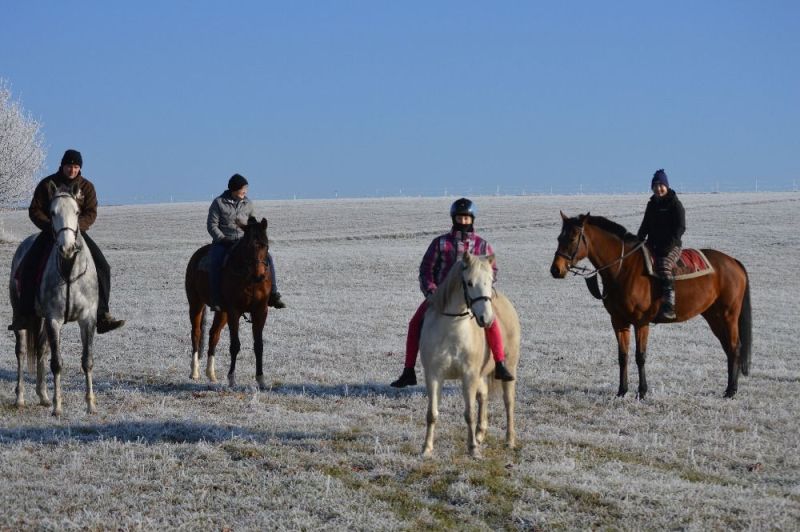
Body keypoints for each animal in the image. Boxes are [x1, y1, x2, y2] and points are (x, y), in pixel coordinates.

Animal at [8, 183, 99, 416]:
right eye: (52, 212)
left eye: (77, 212)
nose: (67, 248)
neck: (68, 271)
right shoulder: (54, 319)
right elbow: (57, 363)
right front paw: (58, 407)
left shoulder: (87, 319)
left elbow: (87, 360)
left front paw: (90, 404)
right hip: (22, 316)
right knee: (21, 352)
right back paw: (20, 398)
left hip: (40, 319)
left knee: (41, 349)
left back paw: (43, 396)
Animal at [186, 217, 274, 390]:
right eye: (247, 246)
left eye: (265, 245)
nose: (259, 275)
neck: (249, 279)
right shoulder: (234, 311)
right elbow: (235, 345)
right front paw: (232, 379)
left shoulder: (260, 311)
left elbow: (259, 345)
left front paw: (261, 379)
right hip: (196, 303)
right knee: (196, 333)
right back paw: (195, 372)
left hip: (222, 312)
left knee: (214, 335)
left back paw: (211, 374)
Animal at [418, 251, 524, 460]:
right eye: (469, 282)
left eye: (490, 281)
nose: (486, 319)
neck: (451, 330)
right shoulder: (434, 375)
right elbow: (432, 413)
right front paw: (427, 449)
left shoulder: (468, 376)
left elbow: (469, 414)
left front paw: (473, 449)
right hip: (480, 376)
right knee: (483, 397)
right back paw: (480, 434)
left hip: (509, 368)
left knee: (508, 403)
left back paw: (509, 441)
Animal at [552, 212, 752, 400]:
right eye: (559, 238)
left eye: (572, 238)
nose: (555, 270)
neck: (624, 269)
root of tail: (733, 262)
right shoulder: (618, 321)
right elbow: (623, 356)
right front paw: (622, 391)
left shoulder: (641, 322)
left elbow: (640, 356)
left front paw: (642, 392)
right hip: (714, 316)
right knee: (728, 348)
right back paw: (729, 388)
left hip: (728, 315)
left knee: (734, 347)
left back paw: (731, 391)